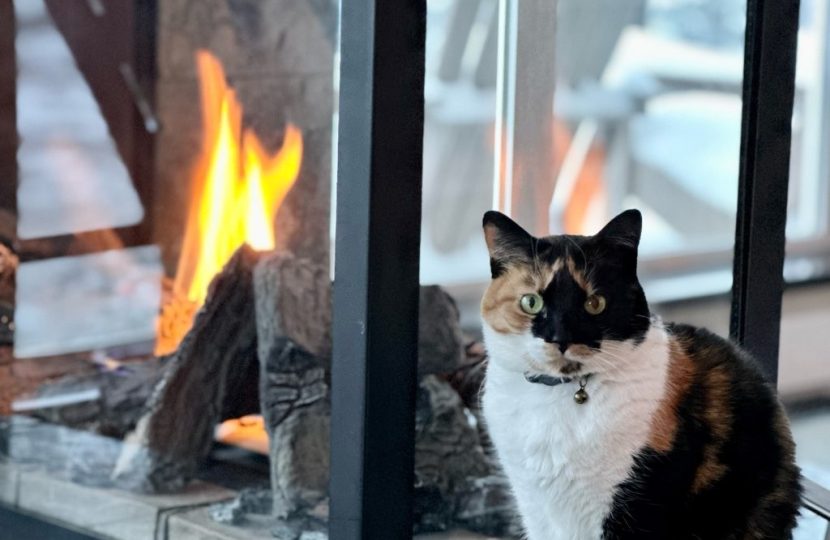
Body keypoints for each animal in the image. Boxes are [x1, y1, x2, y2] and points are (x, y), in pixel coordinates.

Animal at [480, 210, 808, 540]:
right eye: (531, 302)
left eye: (595, 303)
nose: (561, 337)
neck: (560, 396)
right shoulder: (534, 506)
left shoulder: (640, 500)